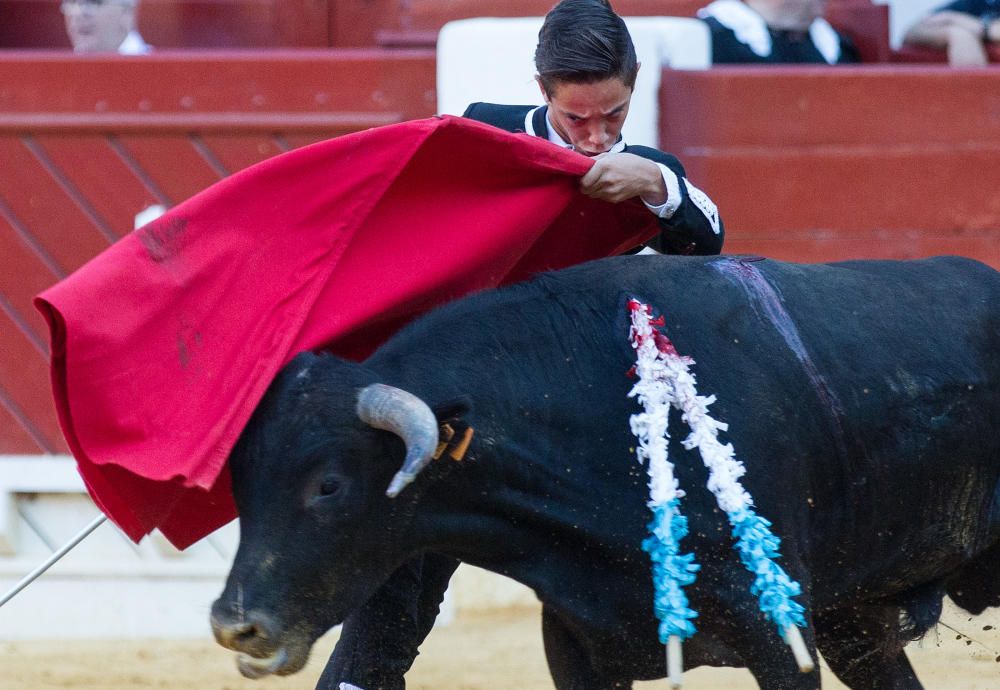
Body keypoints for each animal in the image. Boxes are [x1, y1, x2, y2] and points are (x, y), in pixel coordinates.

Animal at [207, 255, 996, 684]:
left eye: (328, 486)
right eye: (242, 487)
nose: (235, 626)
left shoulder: (776, 633)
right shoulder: (579, 646)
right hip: (852, 620)